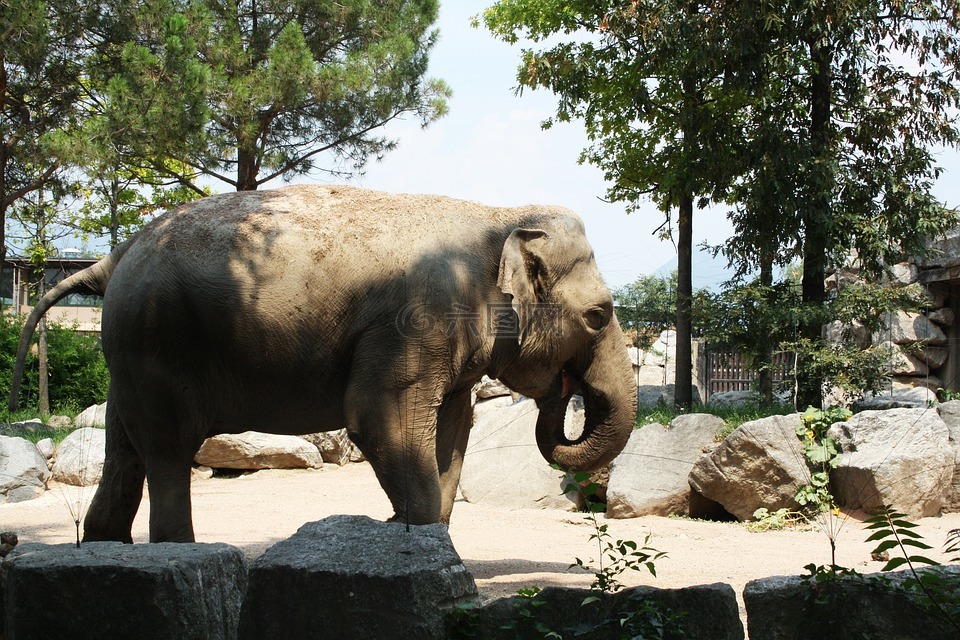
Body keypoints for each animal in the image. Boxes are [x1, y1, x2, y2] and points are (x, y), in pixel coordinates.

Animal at [9, 185, 637, 543]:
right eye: (599, 315)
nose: (564, 390)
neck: (499, 215)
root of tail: (115, 257)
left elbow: (452, 432)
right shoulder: (415, 321)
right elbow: (379, 420)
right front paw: (408, 536)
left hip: (131, 352)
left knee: (125, 451)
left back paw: (104, 549)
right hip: (158, 341)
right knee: (167, 451)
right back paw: (177, 551)